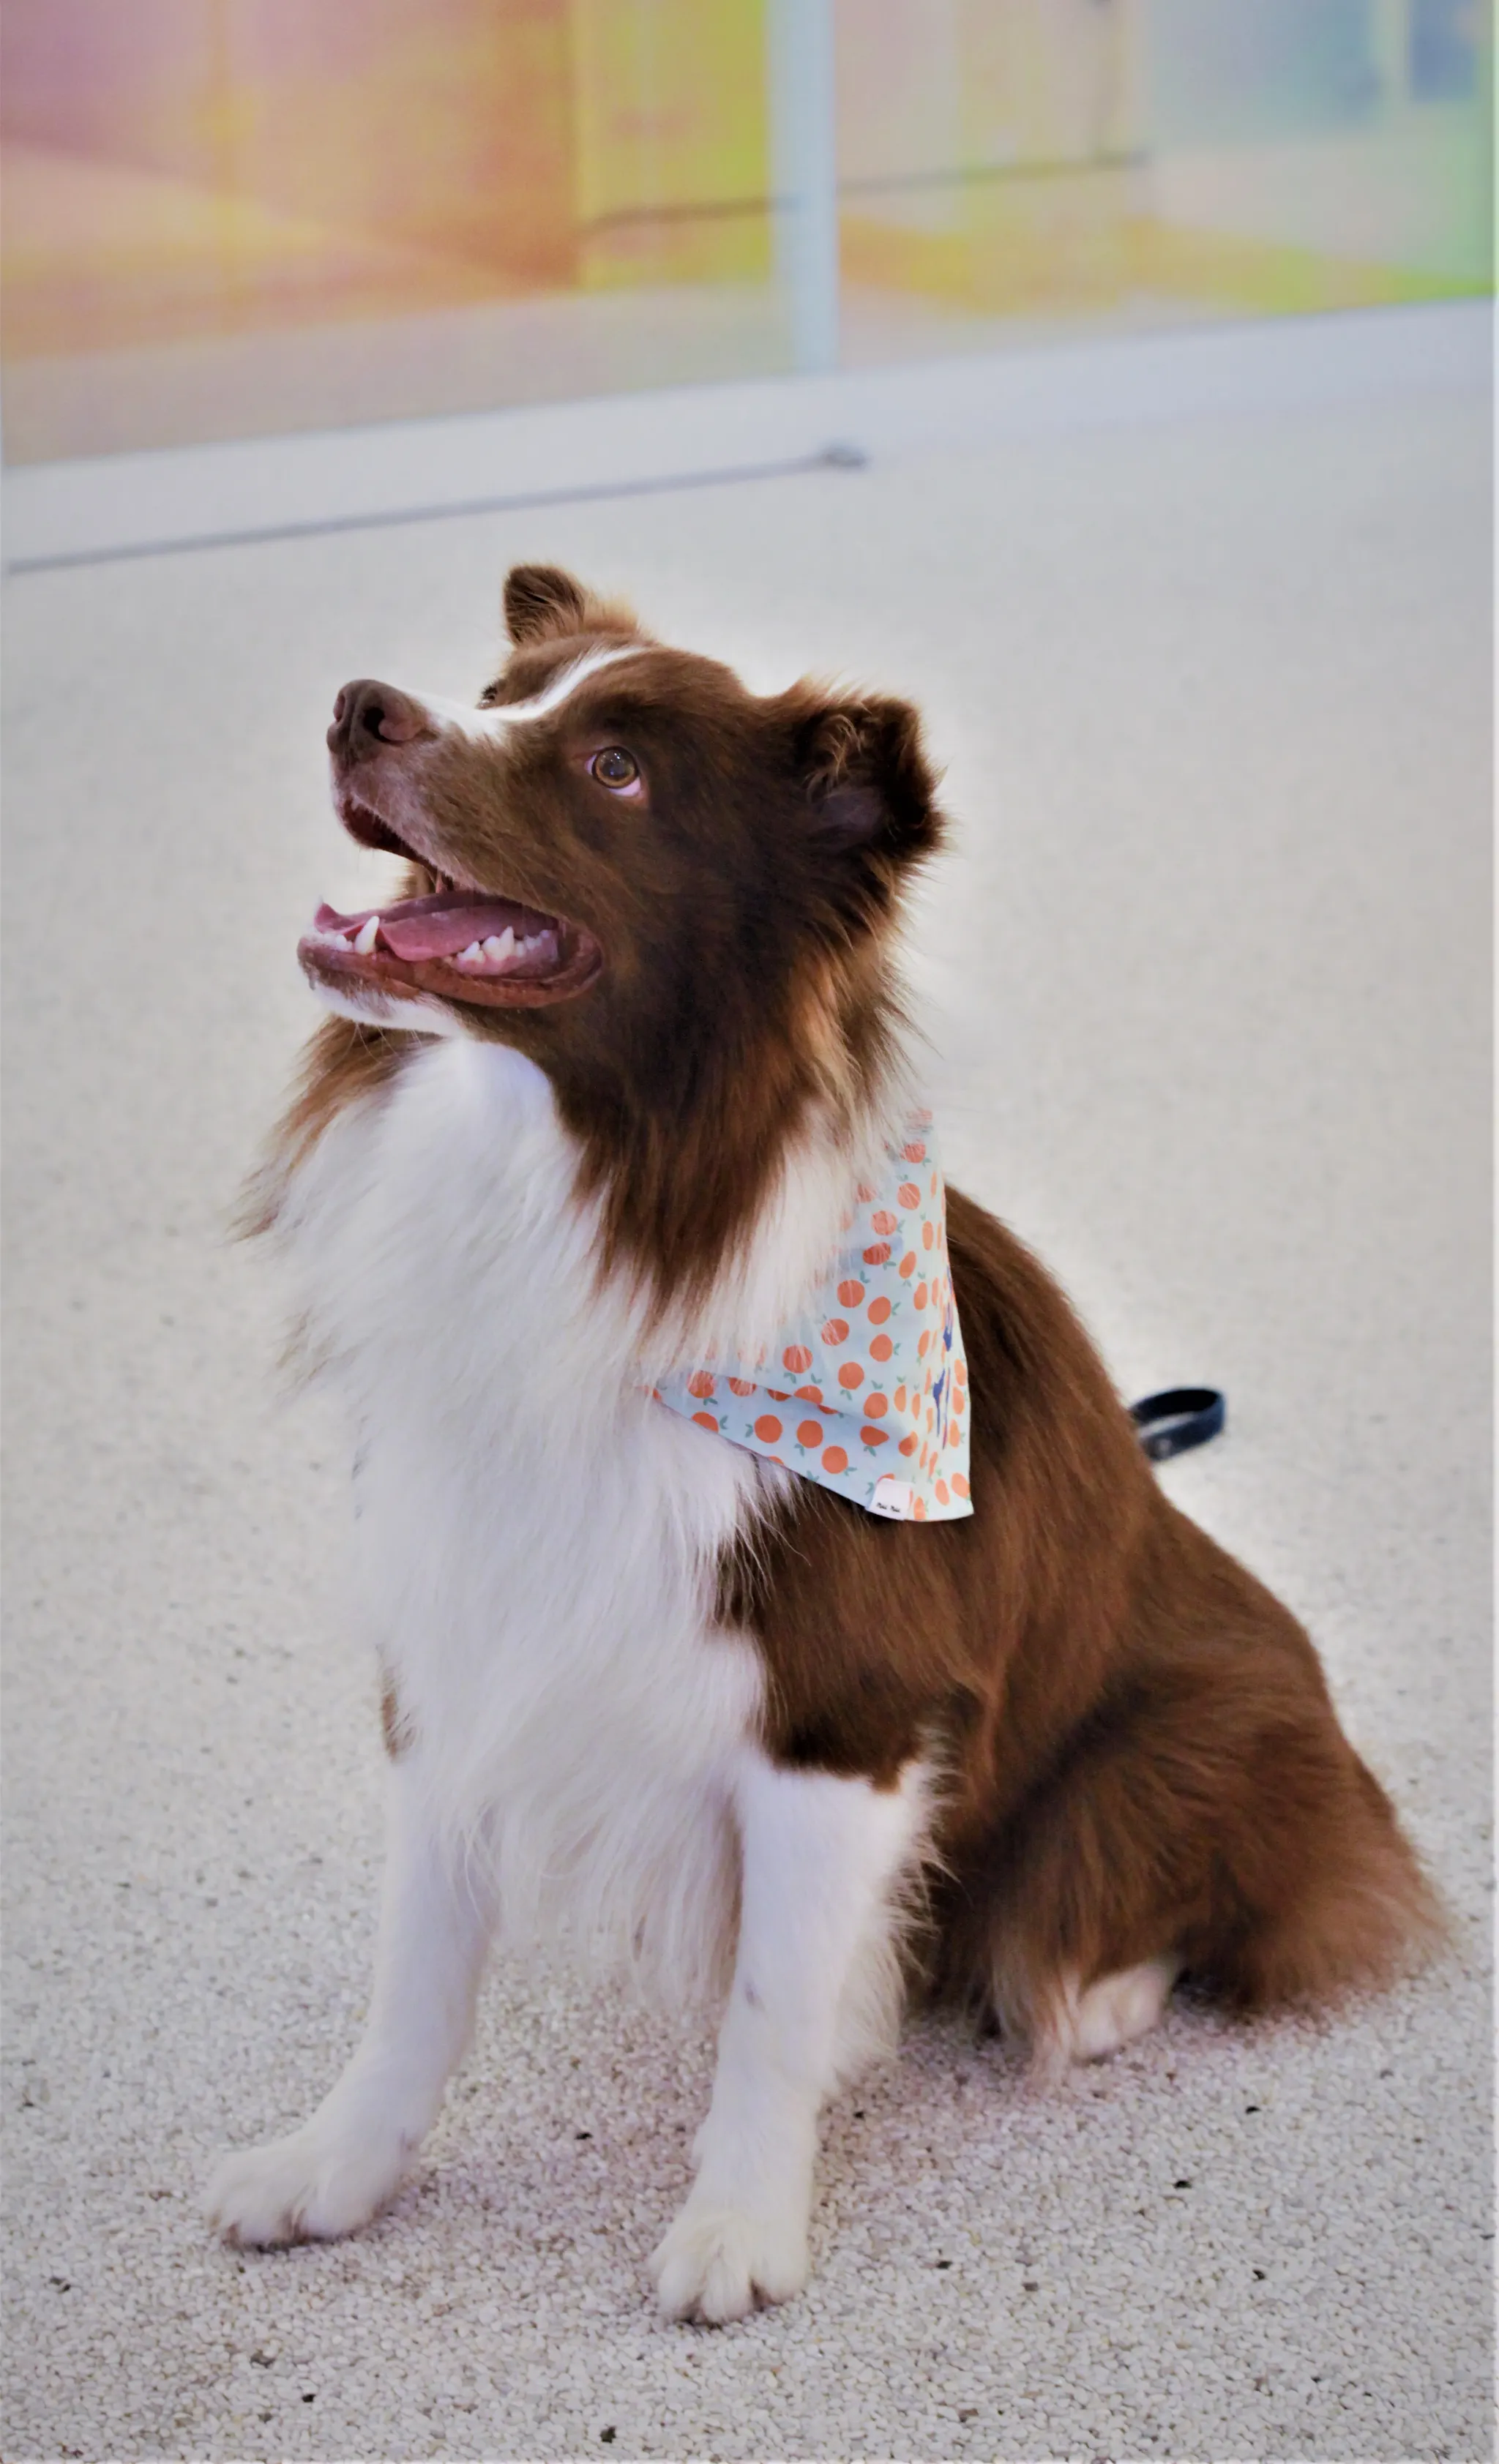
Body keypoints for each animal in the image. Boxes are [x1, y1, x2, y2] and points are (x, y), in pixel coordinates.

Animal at [205, 563, 1438, 2322]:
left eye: (618, 772)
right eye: (495, 692)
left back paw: (1089, 1991)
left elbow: (773, 2011)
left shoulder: (842, 1719)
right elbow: (413, 1981)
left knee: (1160, 1903)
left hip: (1180, 1735)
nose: (361, 707)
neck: (594, 1204)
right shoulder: (462, 1642)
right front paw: (334, 2171)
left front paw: (736, 2229)